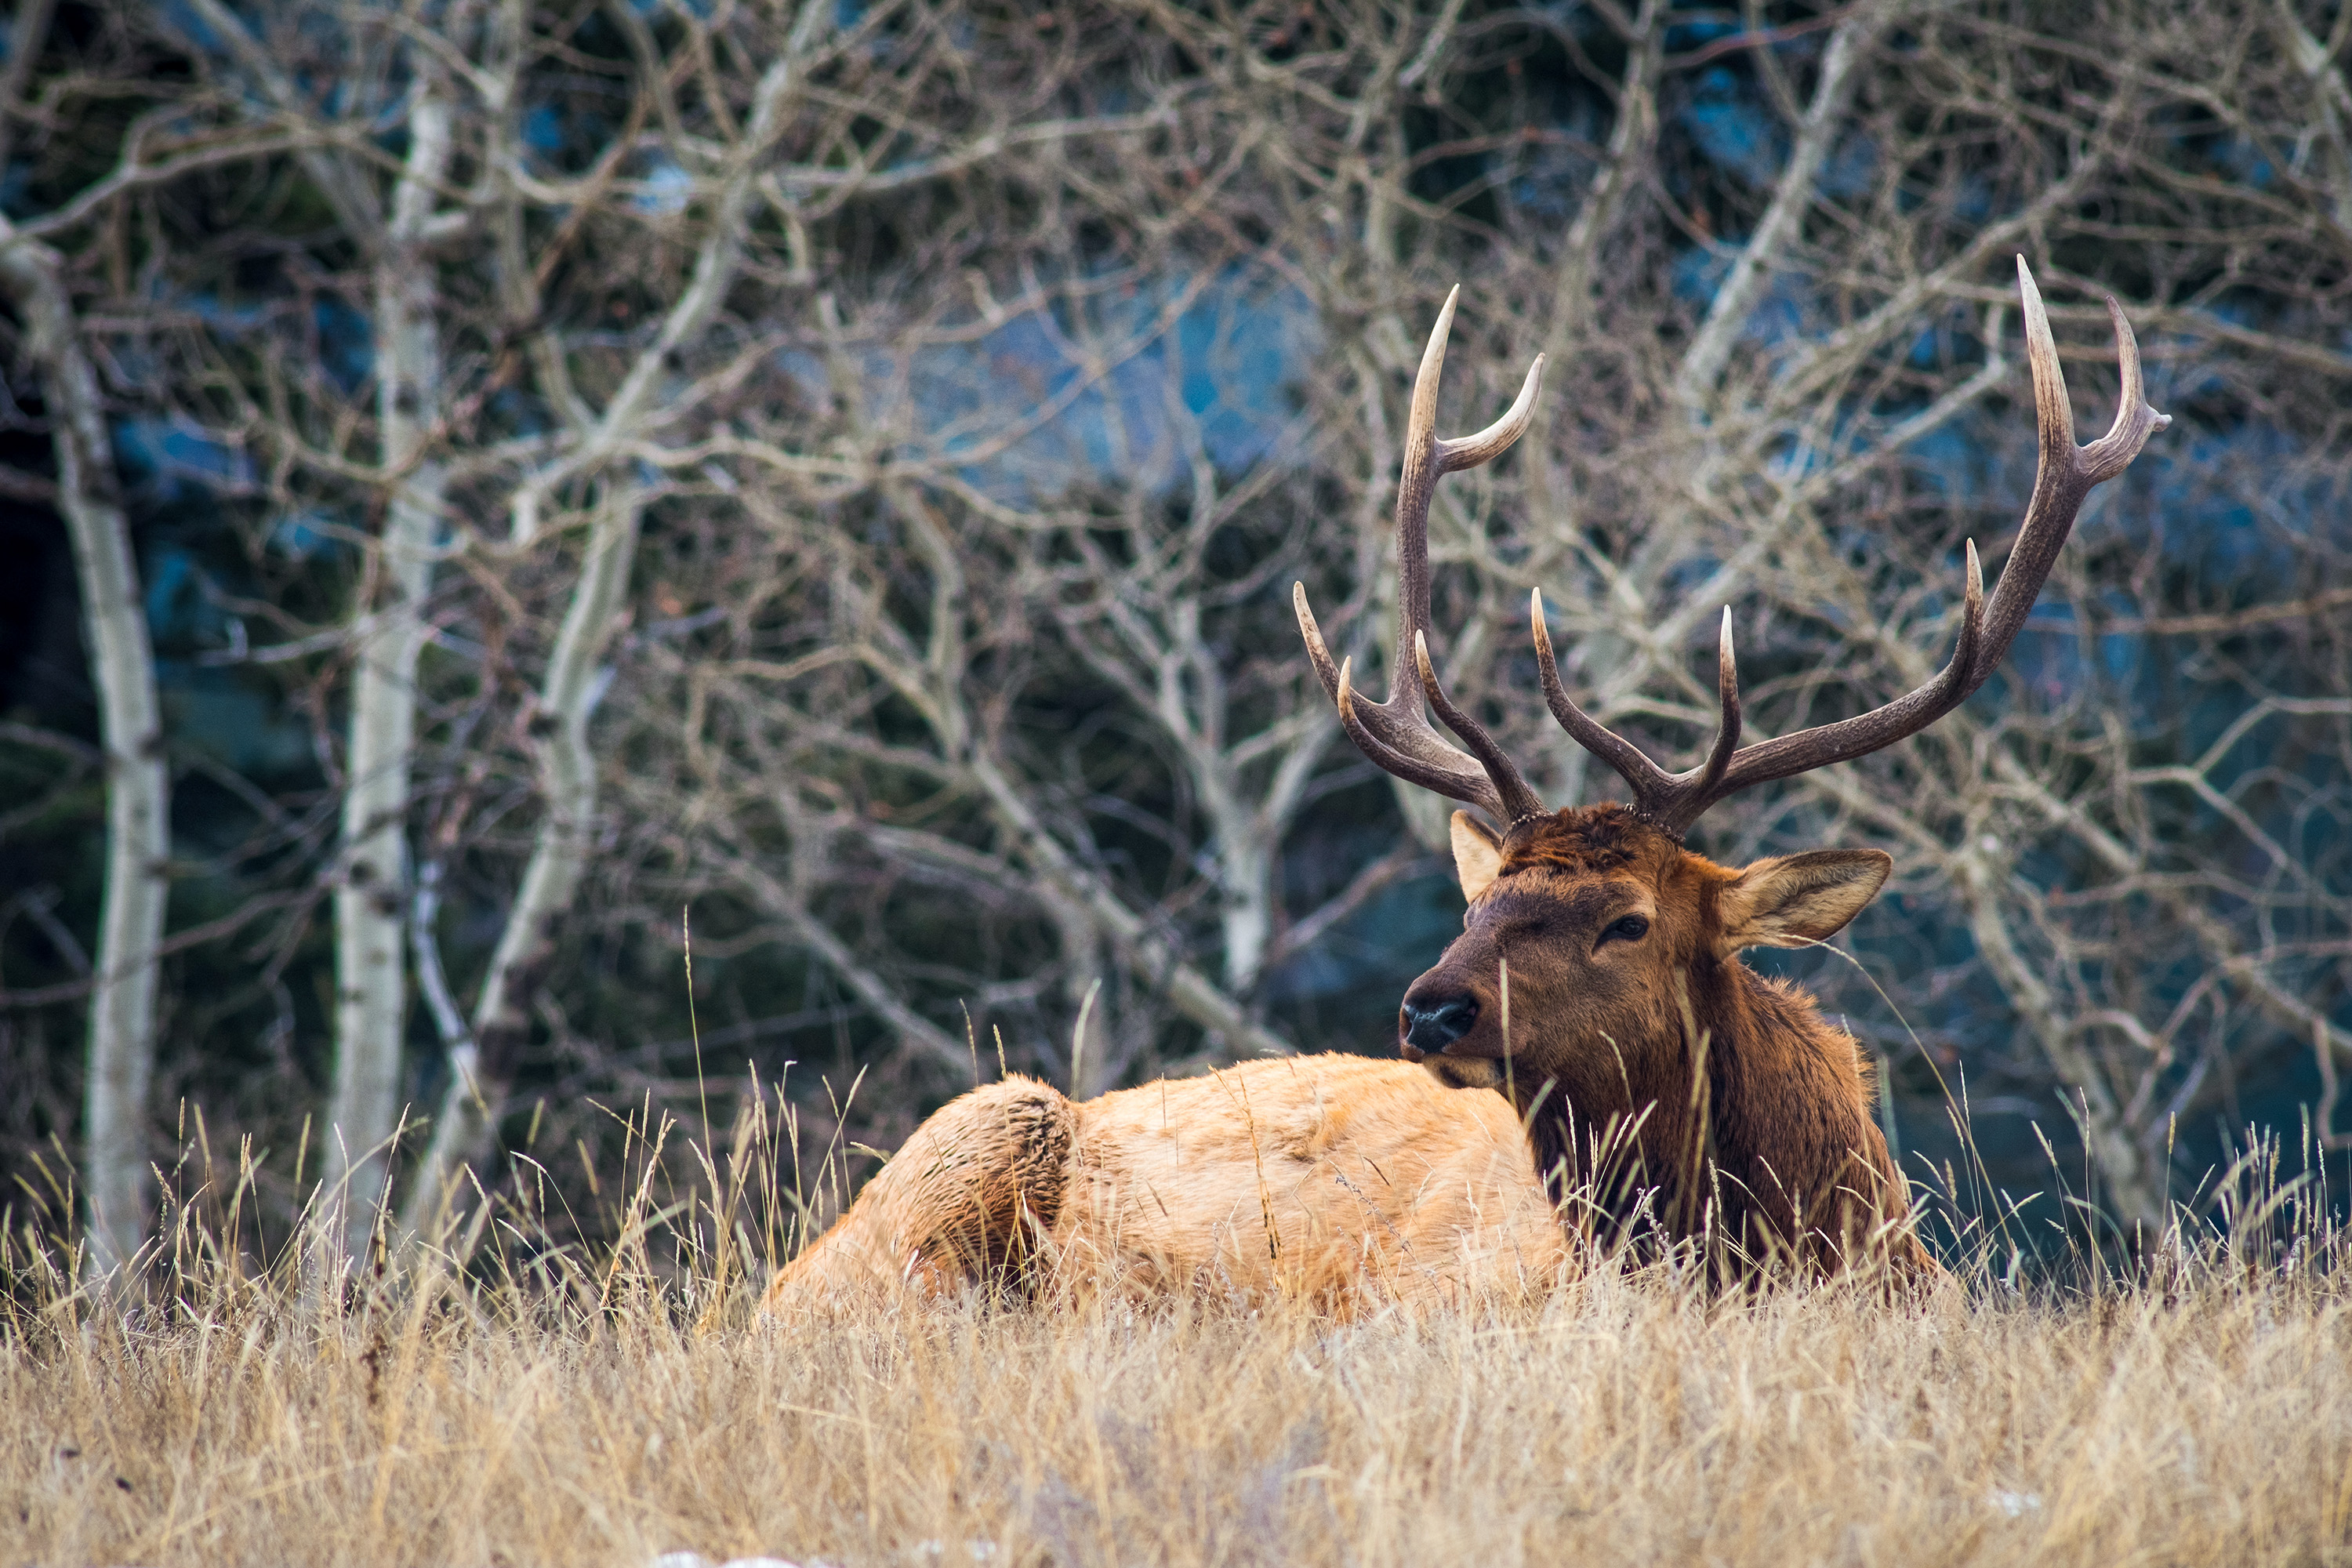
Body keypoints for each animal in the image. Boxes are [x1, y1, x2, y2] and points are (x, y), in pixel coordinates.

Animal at [771, 255, 2164, 1316]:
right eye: (1477, 898)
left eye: (1628, 920)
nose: (1430, 1009)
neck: (1807, 1242)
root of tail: (783, 1285)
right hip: (962, 1148)